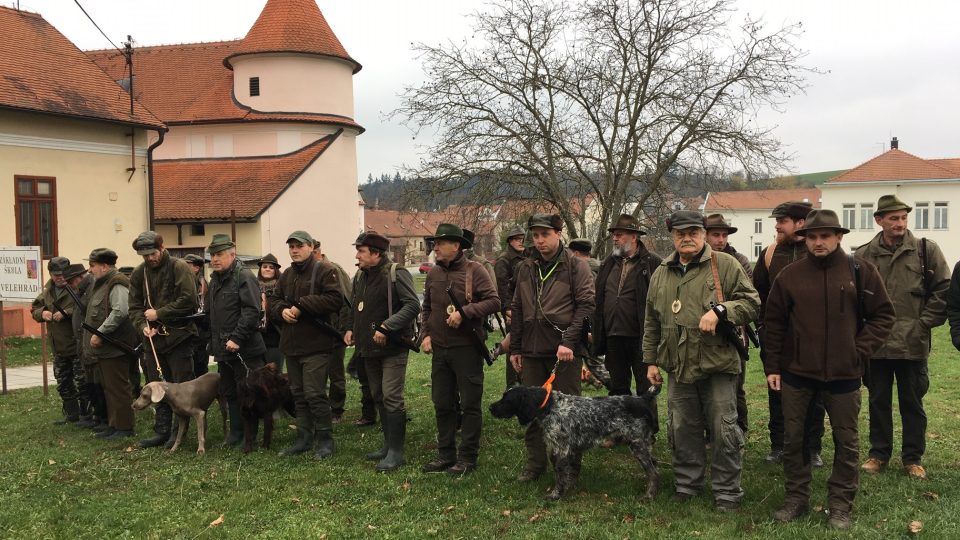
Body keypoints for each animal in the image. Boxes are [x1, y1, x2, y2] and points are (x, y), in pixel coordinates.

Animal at [488, 386, 660, 500]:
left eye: (506, 399)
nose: (490, 407)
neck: (550, 406)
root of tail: (643, 399)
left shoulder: (562, 449)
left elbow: (560, 475)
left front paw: (555, 495)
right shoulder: (561, 450)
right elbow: (564, 474)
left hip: (638, 445)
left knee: (654, 473)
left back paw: (649, 496)